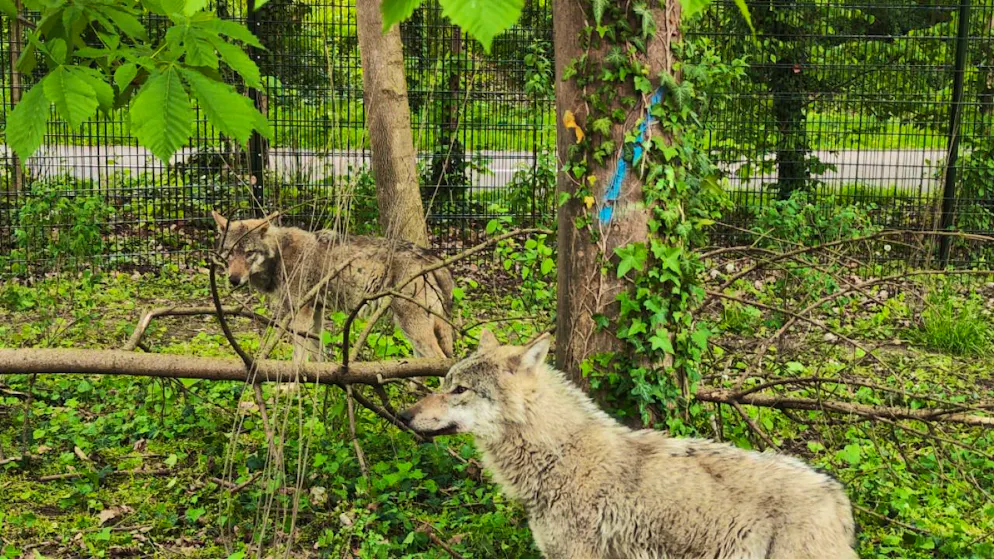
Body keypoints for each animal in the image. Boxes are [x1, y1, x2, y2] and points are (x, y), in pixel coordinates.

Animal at [211, 211, 454, 362]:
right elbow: (317, 351)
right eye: (230, 253)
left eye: (249, 253)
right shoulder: (316, 310)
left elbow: (299, 353)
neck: (279, 255)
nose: (233, 280)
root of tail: (430, 256)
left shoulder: (301, 311)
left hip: (411, 324)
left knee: (439, 360)